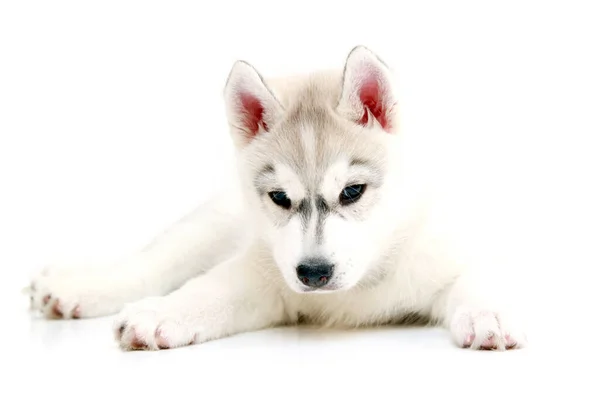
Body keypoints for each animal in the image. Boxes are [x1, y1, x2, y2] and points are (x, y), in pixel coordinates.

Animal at [27, 46, 524, 350]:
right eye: (280, 198)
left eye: (352, 192)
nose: (314, 273)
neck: (364, 282)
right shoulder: (265, 277)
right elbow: (207, 289)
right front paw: (160, 312)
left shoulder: (457, 248)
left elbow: (478, 280)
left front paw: (488, 316)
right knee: (154, 263)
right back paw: (77, 287)